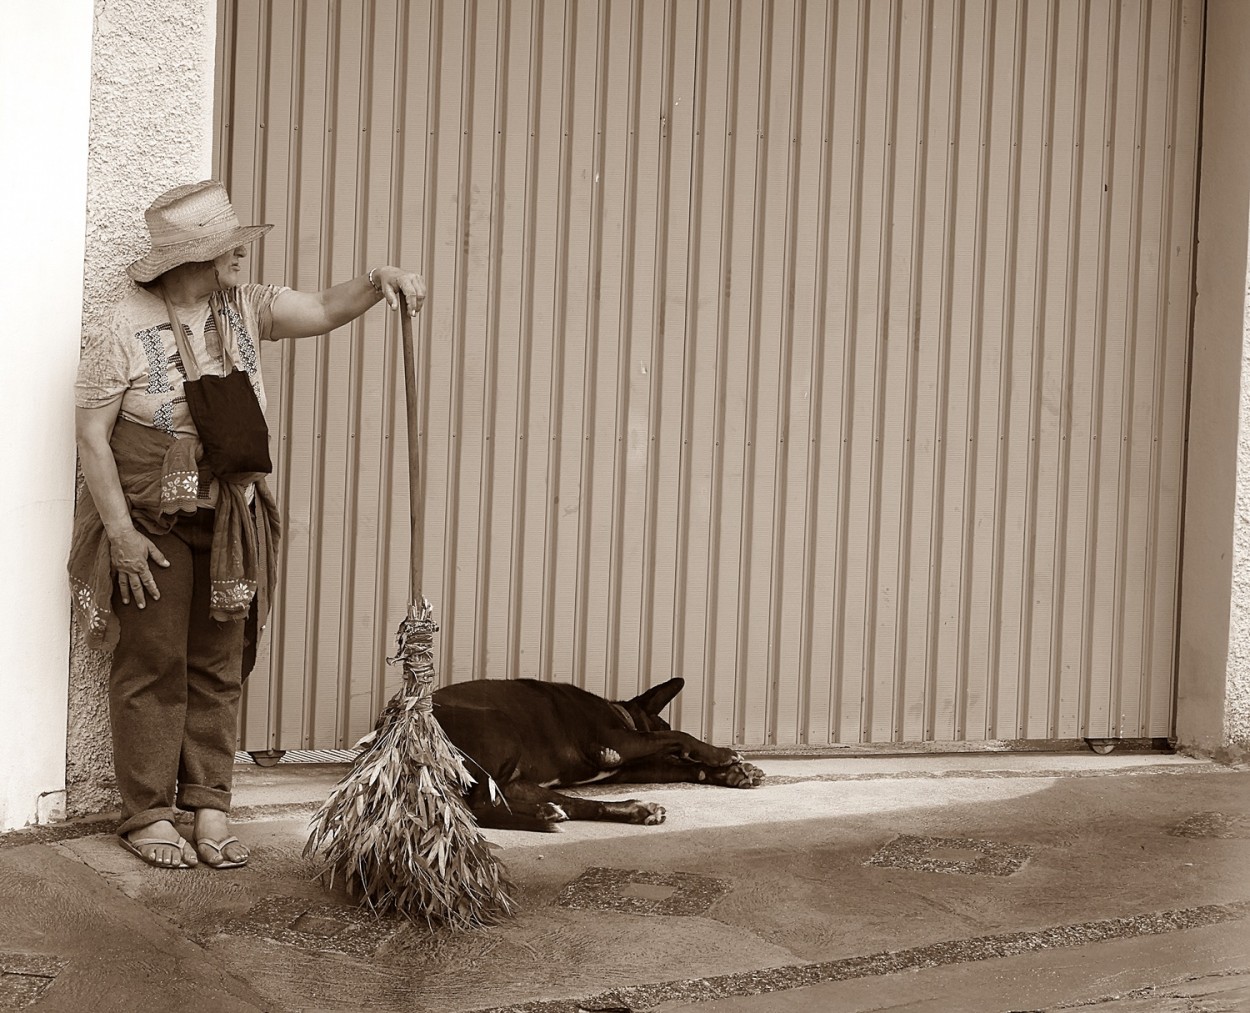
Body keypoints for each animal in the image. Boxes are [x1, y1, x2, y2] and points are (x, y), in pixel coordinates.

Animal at [427, 670, 760, 830]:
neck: (619, 713)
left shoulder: (623, 766)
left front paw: (733, 773)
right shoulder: (617, 743)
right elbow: (678, 735)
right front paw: (720, 755)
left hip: (517, 781)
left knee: (568, 803)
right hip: (501, 727)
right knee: (479, 805)